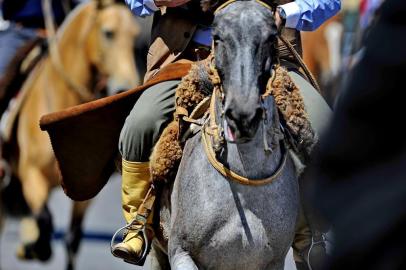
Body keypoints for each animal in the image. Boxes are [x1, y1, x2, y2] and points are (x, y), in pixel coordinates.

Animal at [2, 1, 141, 268]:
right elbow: (44, 220)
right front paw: (33, 248)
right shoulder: (31, 175)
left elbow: (72, 240)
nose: (125, 87)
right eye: (108, 33)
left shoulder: (86, 193)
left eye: (135, 36)